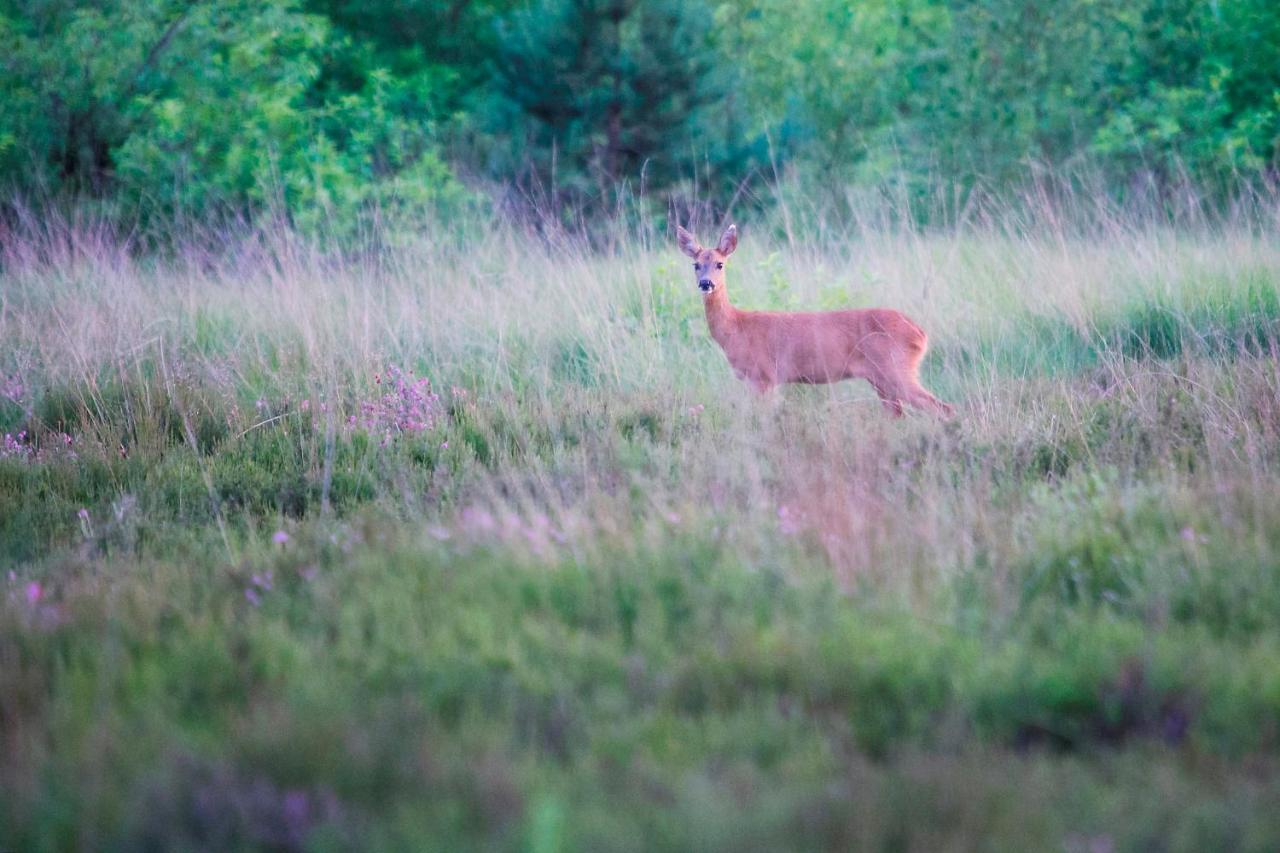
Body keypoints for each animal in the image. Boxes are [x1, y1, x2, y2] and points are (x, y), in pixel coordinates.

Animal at [680, 220, 952, 417]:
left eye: (720, 264)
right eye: (695, 264)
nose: (706, 284)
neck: (736, 328)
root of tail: (920, 333)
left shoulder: (763, 376)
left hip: (896, 369)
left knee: (944, 408)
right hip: (882, 380)